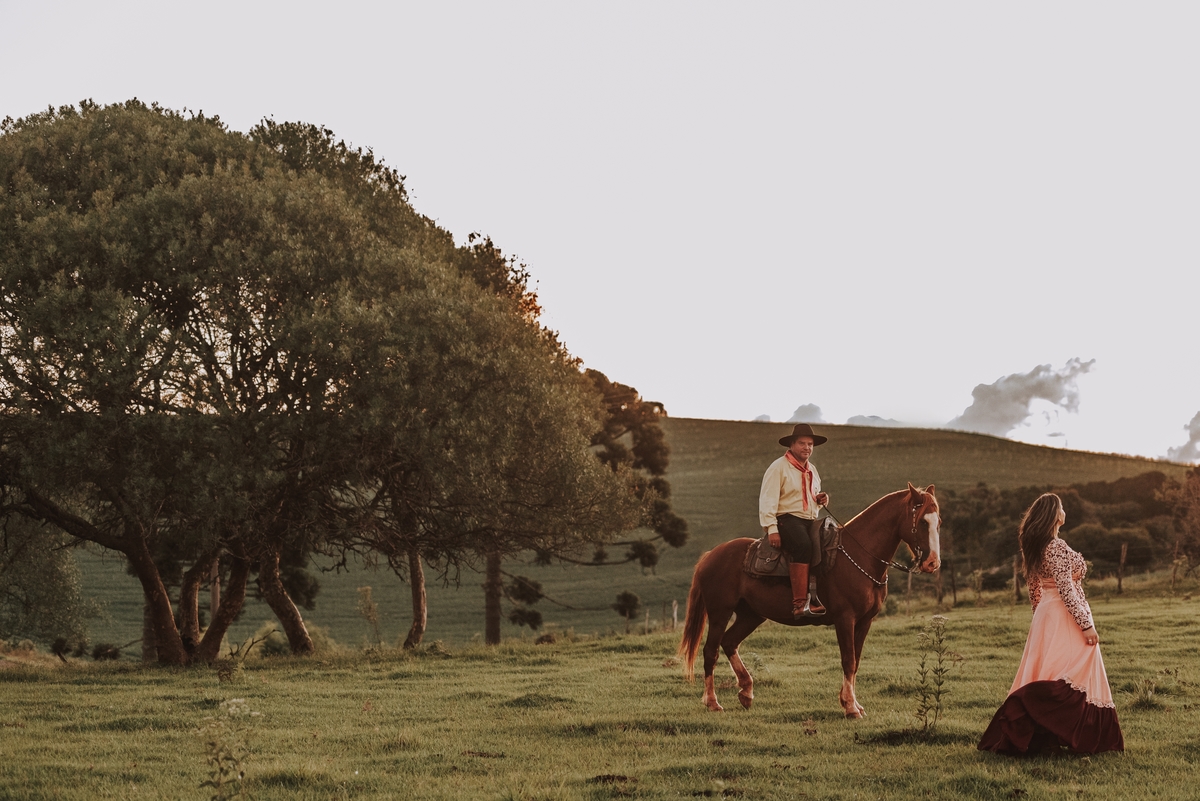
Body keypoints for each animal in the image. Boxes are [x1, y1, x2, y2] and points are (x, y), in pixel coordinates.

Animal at [678, 483, 941, 718]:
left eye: (938, 522)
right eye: (922, 521)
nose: (932, 563)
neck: (858, 556)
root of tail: (711, 555)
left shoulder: (864, 621)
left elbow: (856, 662)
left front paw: (853, 703)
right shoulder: (845, 619)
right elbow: (848, 660)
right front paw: (850, 708)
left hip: (751, 615)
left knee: (730, 642)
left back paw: (746, 692)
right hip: (719, 612)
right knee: (711, 651)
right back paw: (713, 702)